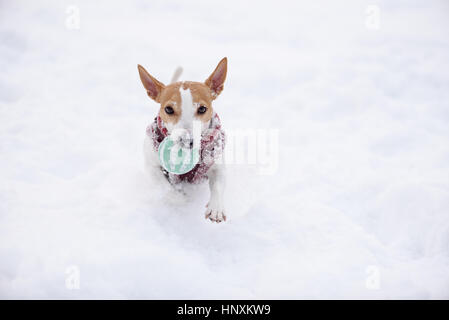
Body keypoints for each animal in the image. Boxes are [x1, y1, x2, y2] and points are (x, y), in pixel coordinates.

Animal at [136, 57, 228, 222]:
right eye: (168, 109)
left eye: (202, 109)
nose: (187, 141)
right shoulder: (151, 167)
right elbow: (165, 187)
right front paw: (180, 199)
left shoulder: (217, 165)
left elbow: (218, 184)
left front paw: (216, 208)